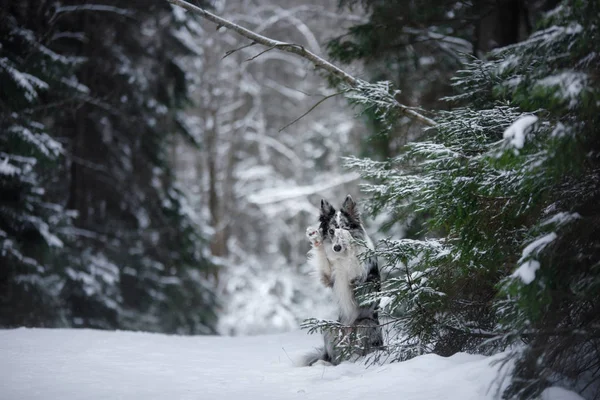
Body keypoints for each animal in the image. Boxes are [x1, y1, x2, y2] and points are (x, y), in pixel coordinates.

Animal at [302, 195, 382, 366]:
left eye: (346, 228)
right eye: (331, 231)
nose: (336, 248)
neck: (342, 256)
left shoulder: (358, 281)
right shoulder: (328, 276)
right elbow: (322, 257)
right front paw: (315, 237)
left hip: (366, 325)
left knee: (363, 350)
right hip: (330, 329)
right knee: (335, 357)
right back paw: (325, 363)